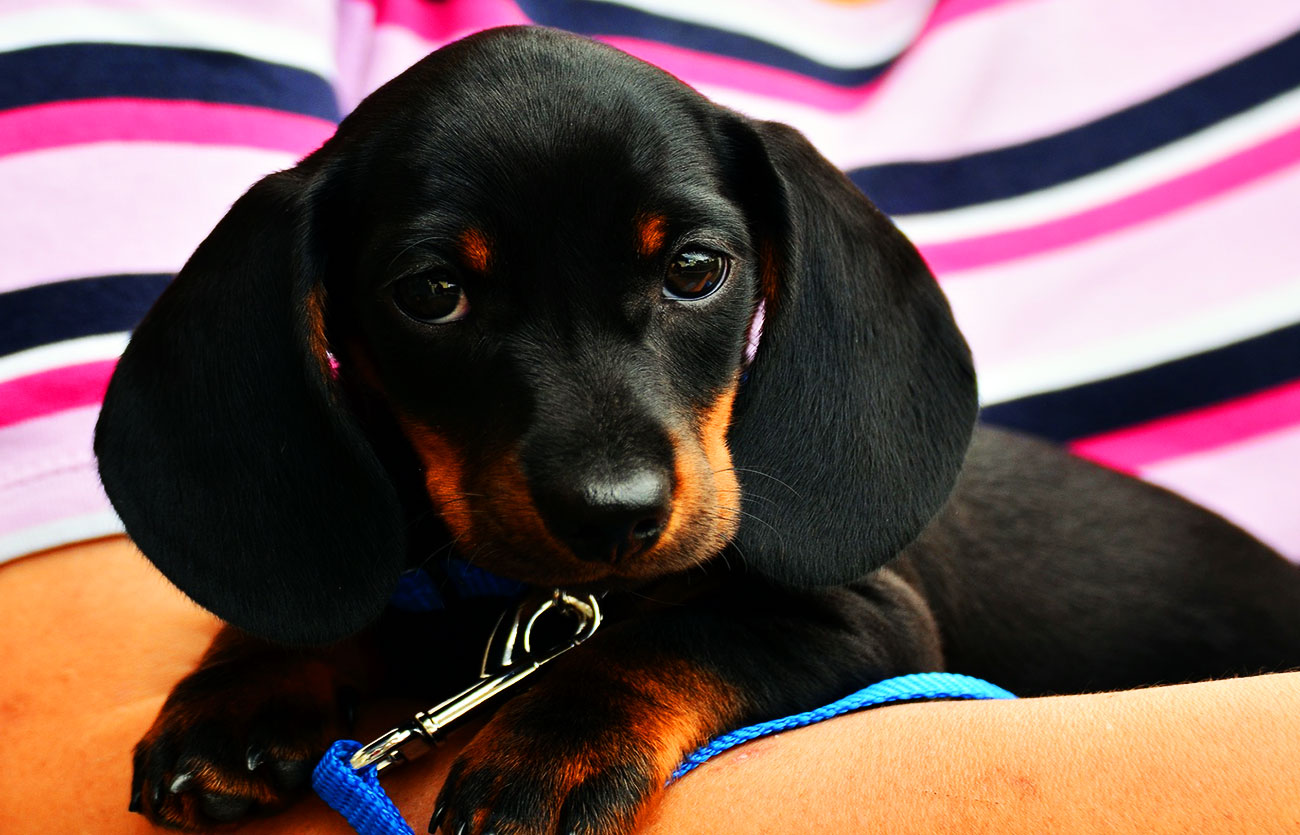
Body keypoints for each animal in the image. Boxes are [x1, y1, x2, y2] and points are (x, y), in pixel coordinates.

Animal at [94, 26, 1300, 832]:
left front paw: (546, 750)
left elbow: (667, 639)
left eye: (693, 268)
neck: (519, 604)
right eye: (431, 292)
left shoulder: (867, 618)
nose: (614, 516)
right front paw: (237, 689)